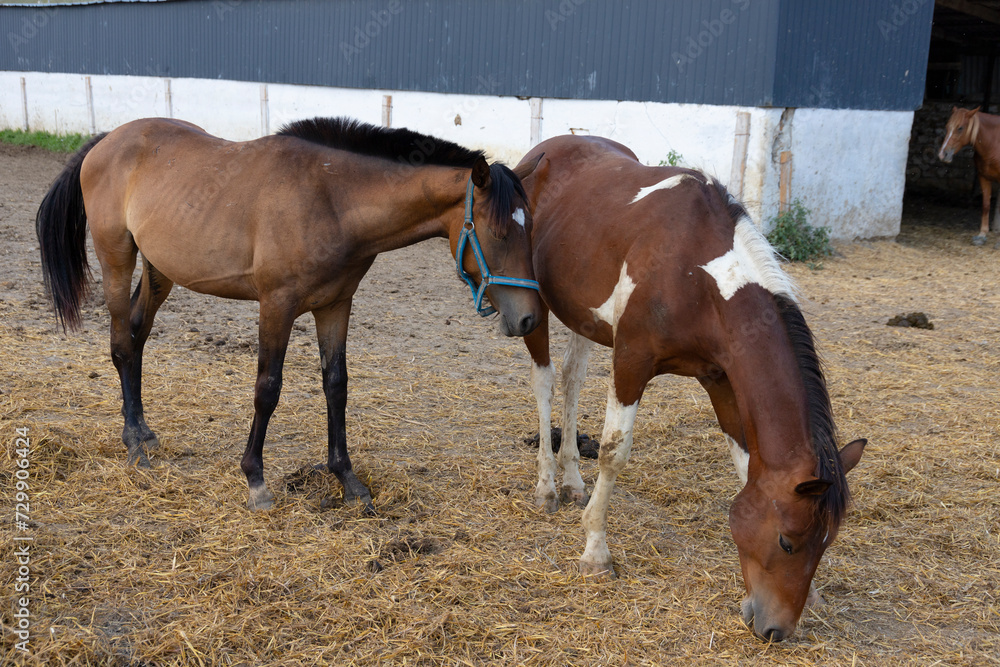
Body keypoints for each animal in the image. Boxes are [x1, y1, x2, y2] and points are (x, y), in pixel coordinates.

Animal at [36, 116, 543, 512]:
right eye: (499, 232)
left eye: (531, 228)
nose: (529, 319)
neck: (331, 197)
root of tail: (109, 139)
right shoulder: (276, 305)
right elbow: (267, 389)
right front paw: (255, 480)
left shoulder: (335, 306)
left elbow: (336, 386)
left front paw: (348, 480)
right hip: (116, 259)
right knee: (122, 345)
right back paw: (133, 445)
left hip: (160, 269)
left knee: (138, 337)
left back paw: (143, 431)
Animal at [515, 135, 866, 641]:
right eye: (787, 541)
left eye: (825, 543)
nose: (775, 629)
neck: (698, 273)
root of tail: (546, 150)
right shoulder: (631, 361)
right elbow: (613, 452)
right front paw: (596, 552)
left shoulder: (719, 379)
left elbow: (745, 463)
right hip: (534, 303)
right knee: (543, 382)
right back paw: (546, 486)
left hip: (584, 315)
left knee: (571, 378)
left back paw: (573, 480)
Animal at [938, 106, 1000, 245]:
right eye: (947, 126)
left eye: (960, 128)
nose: (942, 154)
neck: (995, 142)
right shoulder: (983, 178)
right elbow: (986, 205)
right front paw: (982, 235)